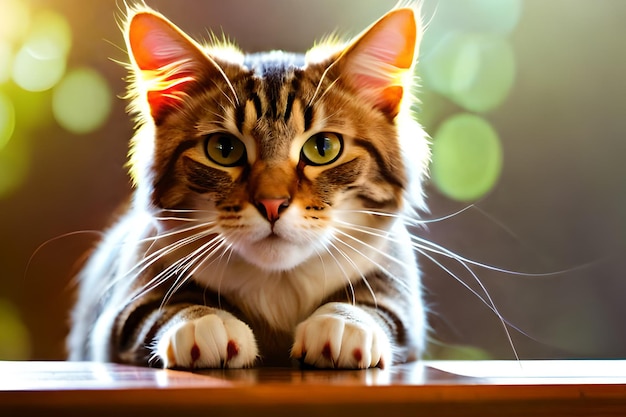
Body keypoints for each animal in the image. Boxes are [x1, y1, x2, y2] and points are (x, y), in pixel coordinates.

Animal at [67, 1, 428, 368]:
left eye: (324, 147)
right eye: (224, 149)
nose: (272, 204)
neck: (278, 283)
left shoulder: (399, 286)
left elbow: (378, 305)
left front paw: (342, 323)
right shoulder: (118, 311)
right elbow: (160, 308)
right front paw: (204, 322)